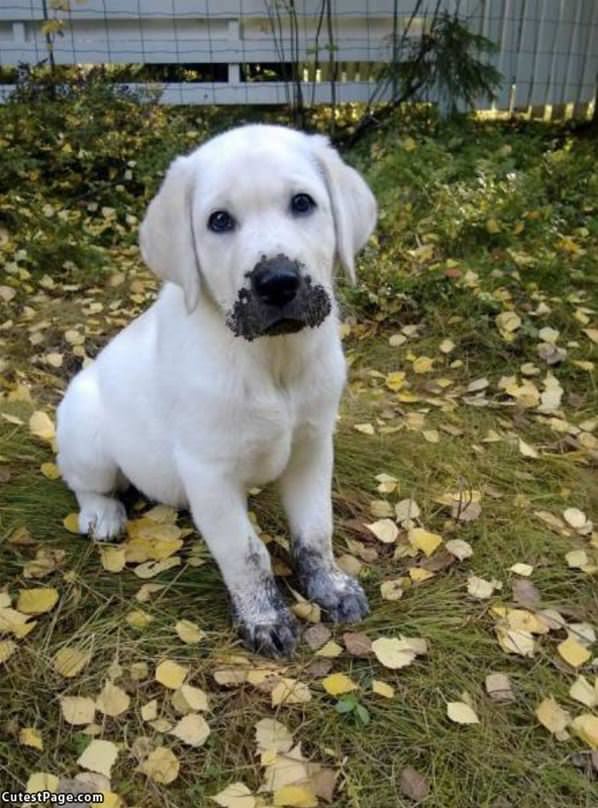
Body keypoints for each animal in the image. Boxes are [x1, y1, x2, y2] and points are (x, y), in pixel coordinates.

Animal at [56, 126, 376, 656]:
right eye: (219, 221)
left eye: (303, 203)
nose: (278, 282)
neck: (272, 359)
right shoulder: (210, 472)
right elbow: (246, 553)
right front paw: (265, 618)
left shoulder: (312, 448)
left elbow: (316, 529)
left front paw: (329, 585)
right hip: (85, 428)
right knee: (86, 482)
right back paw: (102, 514)